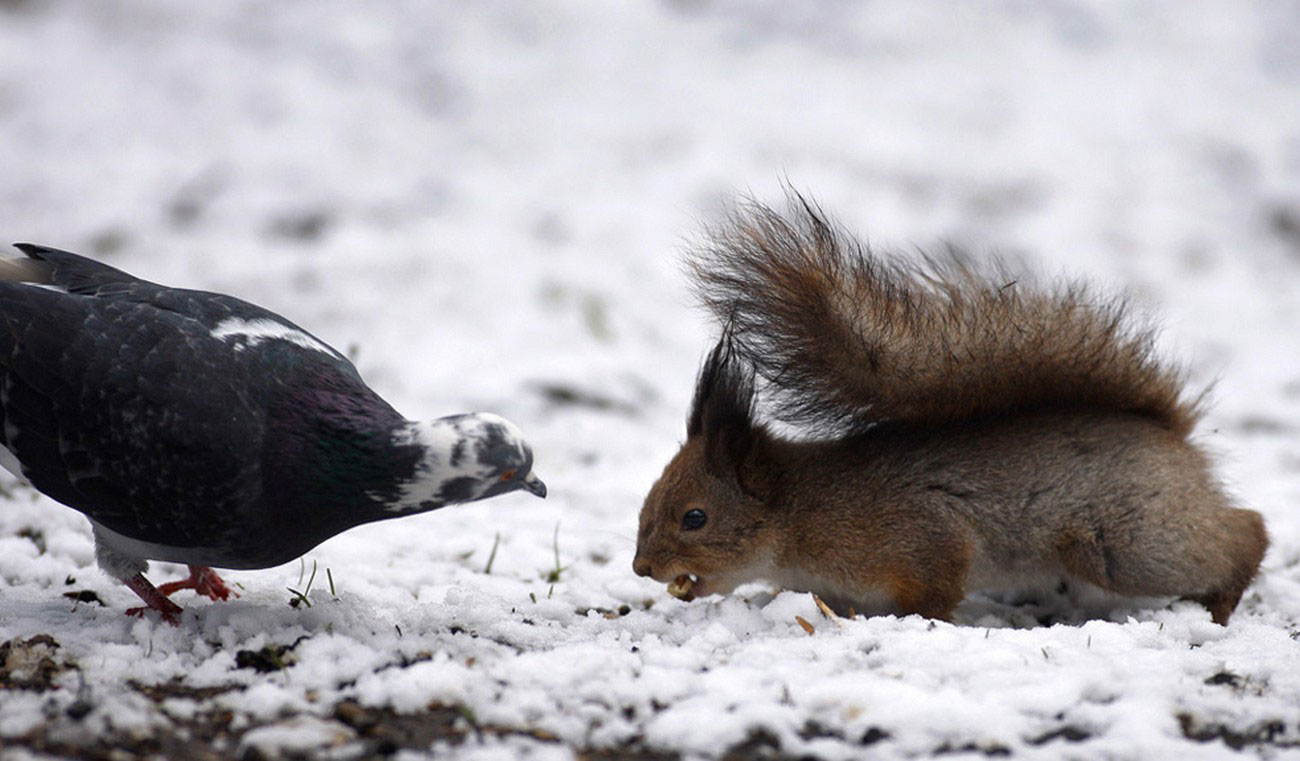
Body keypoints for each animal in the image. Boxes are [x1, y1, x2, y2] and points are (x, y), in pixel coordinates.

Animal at [634, 192, 1263, 627]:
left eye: (695, 517)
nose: (642, 568)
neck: (803, 510)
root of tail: (1173, 434)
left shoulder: (922, 537)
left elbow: (937, 587)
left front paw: (920, 622)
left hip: (1128, 543)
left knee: (1245, 532)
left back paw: (1220, 604)